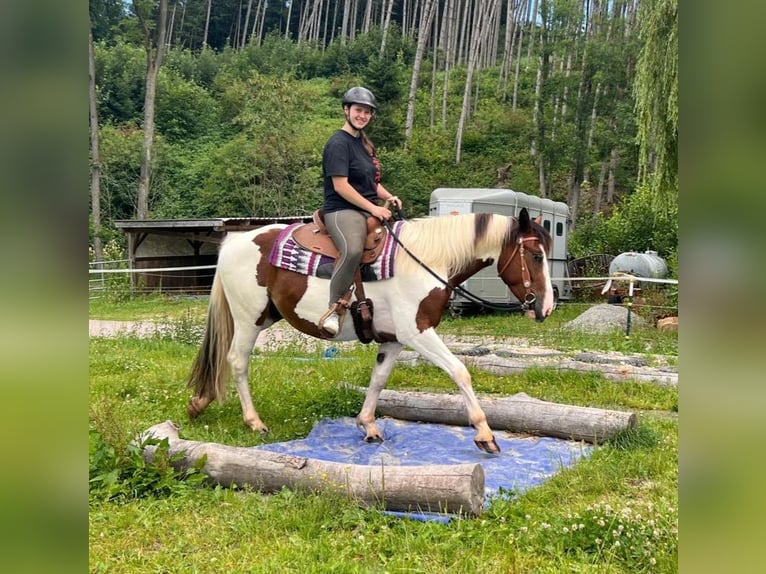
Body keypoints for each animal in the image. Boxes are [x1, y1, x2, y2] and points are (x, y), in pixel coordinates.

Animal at [189, 209, 556, 456]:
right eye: (536, 256)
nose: (546, 307)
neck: (427, 261)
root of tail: (235, 242)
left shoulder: (394, 340)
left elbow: (378, 380)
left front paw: (368, 425)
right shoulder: (418, 333)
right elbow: (459, 371)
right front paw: (485, 434)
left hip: (265, 316)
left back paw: (199, 402)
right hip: (248, 318)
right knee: (237, 361)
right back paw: (254, 421)